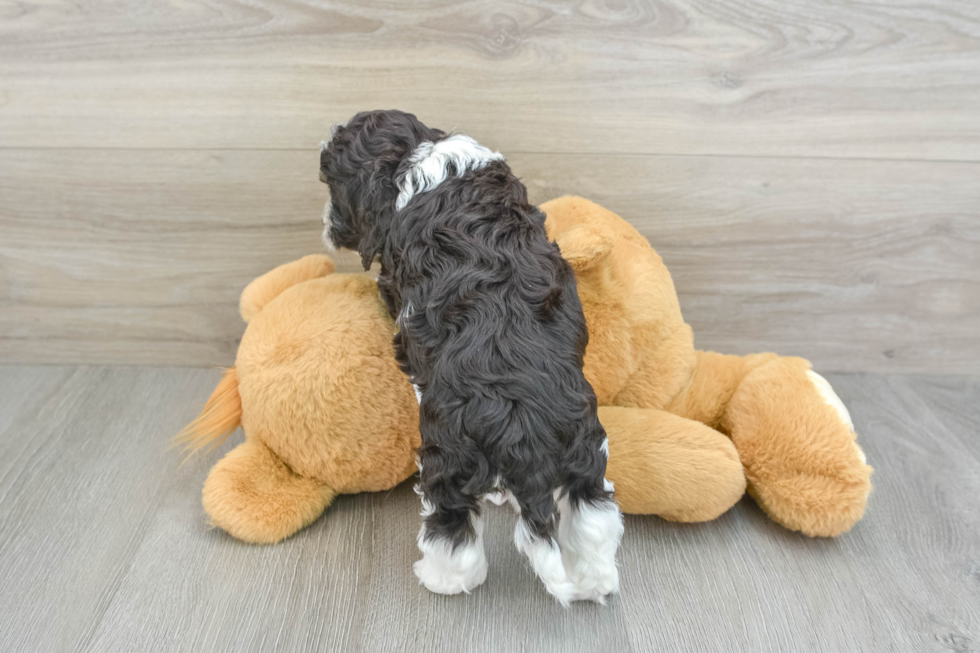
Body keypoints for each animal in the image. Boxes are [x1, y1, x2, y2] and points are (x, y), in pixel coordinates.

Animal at [318, 109, 624, 604]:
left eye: (332, 186)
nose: (327, 225)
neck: (415, 154)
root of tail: (522, 427)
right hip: (585, 447)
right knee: (593, 515)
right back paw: (595, 581)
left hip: (449, 455)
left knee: (451, 524)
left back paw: (443, 579)